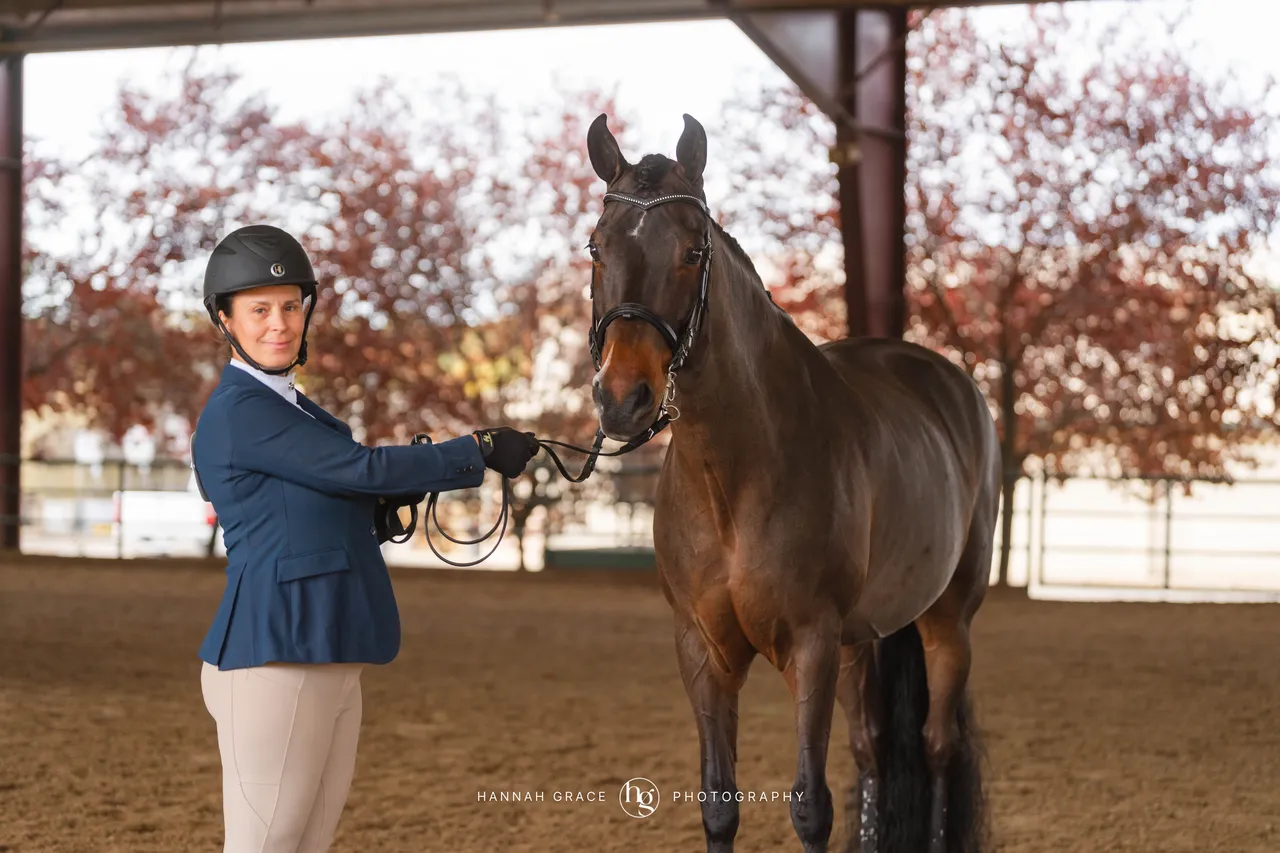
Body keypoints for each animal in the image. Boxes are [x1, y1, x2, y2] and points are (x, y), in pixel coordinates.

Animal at [583, 113, 999, 853]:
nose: (623, 398)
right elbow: (719, 801)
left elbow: (810, 805)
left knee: (936, 747)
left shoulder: (811, 644)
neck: (737, 478)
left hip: (948, 621)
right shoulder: (703, 649)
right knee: (873, 749)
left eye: (693, 251)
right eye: (596, 248)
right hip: (865, 639)